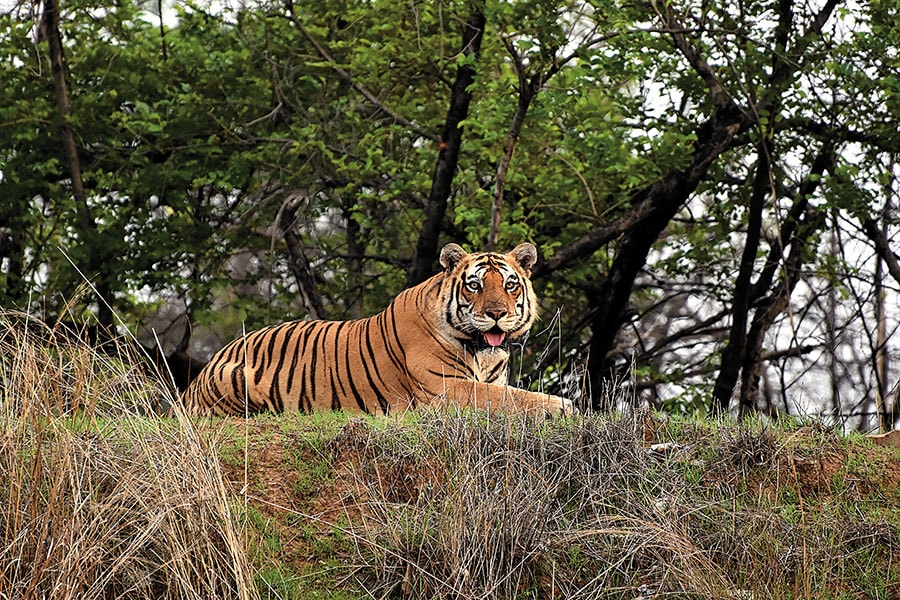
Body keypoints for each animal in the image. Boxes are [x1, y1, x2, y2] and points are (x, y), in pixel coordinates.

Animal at [182, 243, 572, 418]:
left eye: (509, 285)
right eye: (475, 285)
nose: (496, 313)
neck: (481, 351)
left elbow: (508, 393)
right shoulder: (445, 389)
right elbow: (511, 398)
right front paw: (563, 405)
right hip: (237, 379)